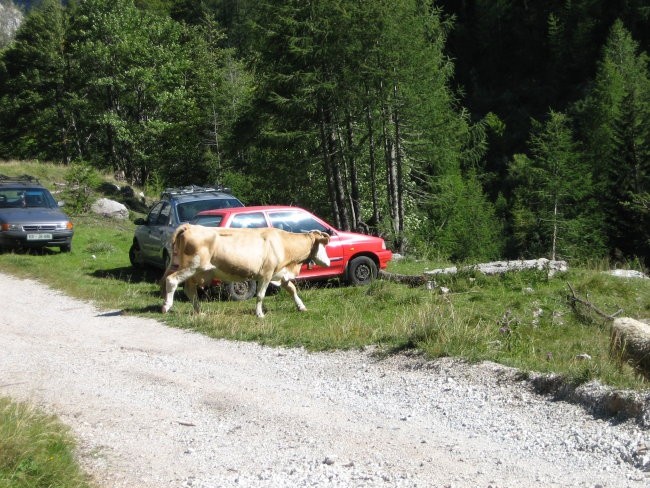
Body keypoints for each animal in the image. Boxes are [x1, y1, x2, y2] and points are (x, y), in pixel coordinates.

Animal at [158, 224, 330, 318]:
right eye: (324, 245)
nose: (328, 262)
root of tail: (191, 226)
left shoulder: (279, 274)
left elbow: (292, 289)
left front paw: (301, 307)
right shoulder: (266, 273)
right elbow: (260, 295)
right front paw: (259, 314)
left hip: (196, 271)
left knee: (189, 289)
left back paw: (199, 311)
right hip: (191, 266)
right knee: (172, 280)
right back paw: (167, 306)